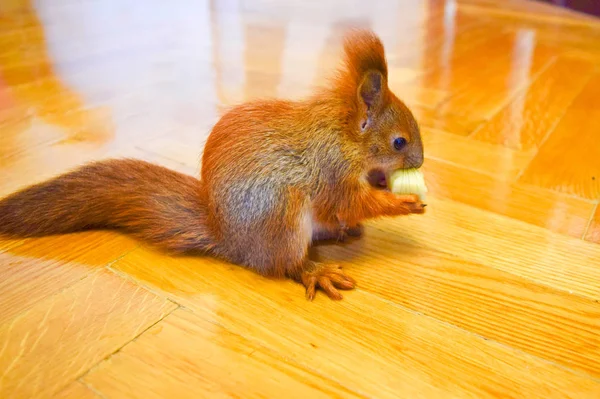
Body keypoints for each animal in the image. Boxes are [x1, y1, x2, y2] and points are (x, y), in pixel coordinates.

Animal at [0, 29, 424, 302]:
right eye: (398, 142)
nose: (420, 161)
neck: (345, 137)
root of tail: (229, 239)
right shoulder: (331, 170)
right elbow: (350, 201)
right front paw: (400, 203)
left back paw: (342, 233)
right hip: (282, 215)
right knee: (285, 264)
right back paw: (315, 270)